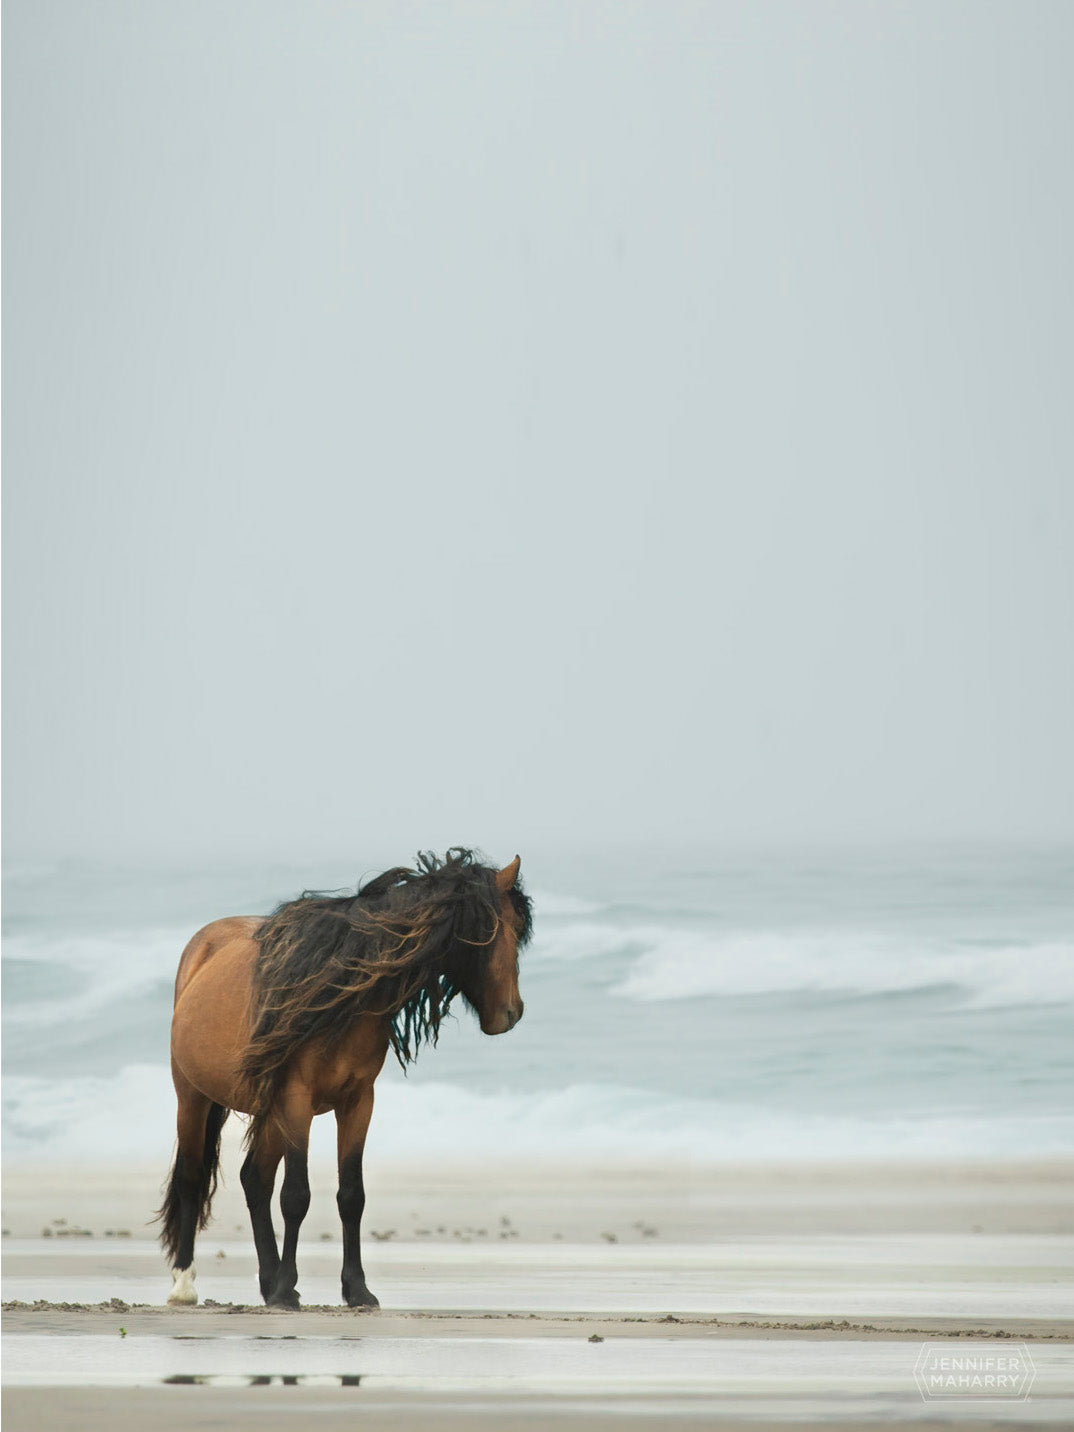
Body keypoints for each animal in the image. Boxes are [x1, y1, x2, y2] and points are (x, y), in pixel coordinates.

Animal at [157, 847, 532, 1311]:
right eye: (511, 927)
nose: (513, 1012)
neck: (342, 991)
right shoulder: (296, 1099)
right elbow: (296, 1196)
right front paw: (288, 1289)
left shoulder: (358, 1101)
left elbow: (351, 1196)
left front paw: (356, 1289)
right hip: (193, 1096)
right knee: (192, 1178)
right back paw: (187, 1284)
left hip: (270, 1112)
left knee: (254, 1179)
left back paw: (267, 1282)